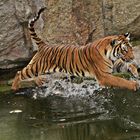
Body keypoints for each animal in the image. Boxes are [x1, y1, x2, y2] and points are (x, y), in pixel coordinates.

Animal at [11, 7, 139, 91]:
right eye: (124, 50)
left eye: (131, 49)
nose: (133, 57)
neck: (110, 56)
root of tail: (44, 45)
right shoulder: (104, 76)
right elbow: (120, 81)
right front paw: (134, 85)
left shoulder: (112, 68)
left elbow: (124, 68)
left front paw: (135, 72)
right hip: (36, 67)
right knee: (19, 72)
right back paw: (14, 87)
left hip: (40, 68)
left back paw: (39, 81)